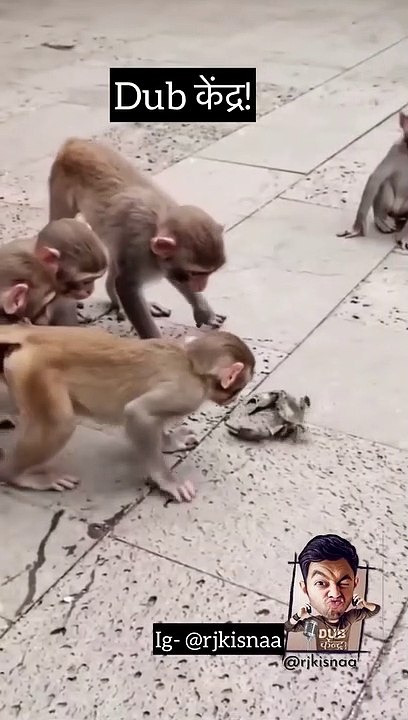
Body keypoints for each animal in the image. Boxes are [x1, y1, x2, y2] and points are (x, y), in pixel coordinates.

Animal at [0, 325, 255, 500]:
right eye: (239, 386)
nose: (234, 398)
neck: (192, 362)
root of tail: (32, 335)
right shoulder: (187, 392)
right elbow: (138, 412)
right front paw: (167, 481)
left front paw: (168, 441)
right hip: (34, 372)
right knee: (60, 424)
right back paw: (16, 475)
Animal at [48, 137, 227, 338]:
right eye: (196, 274)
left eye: (206, 274)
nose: (201, 286)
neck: (157, 224)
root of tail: (75, 142)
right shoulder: (139, 249)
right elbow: (126, 286)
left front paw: (204, 312)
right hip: (59, 184)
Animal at [338, 111, 408, 245]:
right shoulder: (395, 149)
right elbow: (376, 178)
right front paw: (358, 227)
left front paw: (405, 236)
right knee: (385, 183)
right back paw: (381, 219)